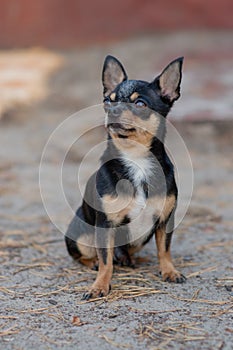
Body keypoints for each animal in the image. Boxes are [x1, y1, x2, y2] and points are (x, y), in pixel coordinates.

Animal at [65, 54, 186, 298]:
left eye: (140, 104)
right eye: (107, 101)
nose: (112, 110)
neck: (135, 159)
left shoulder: (165, 220)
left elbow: (165, 249)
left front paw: (169, 271)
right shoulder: (105, 224)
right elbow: (106, 261)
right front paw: (100, 285)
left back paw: (129, 258)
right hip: (82, 237)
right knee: (87, 255)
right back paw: (95, 262)